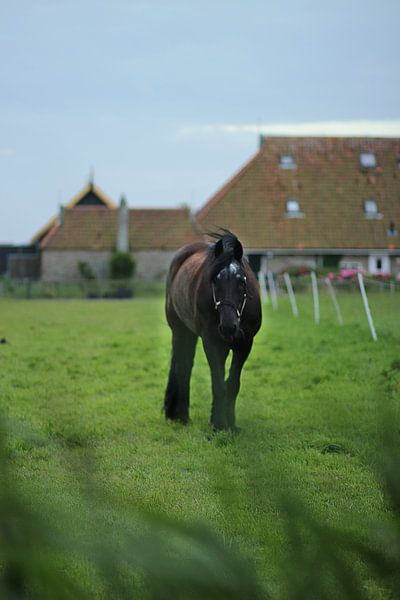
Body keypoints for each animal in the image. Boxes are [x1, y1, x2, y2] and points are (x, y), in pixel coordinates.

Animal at [163, 230, 262, 432]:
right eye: (215, 281)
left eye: (242, 282)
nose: (228, 326)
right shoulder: (212, 343)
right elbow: (218, 384)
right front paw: (218, 424)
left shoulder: (245, 344)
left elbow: (232, 384)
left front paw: (230, 424)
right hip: (179, 330)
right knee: (183, 366)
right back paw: (181, 415)